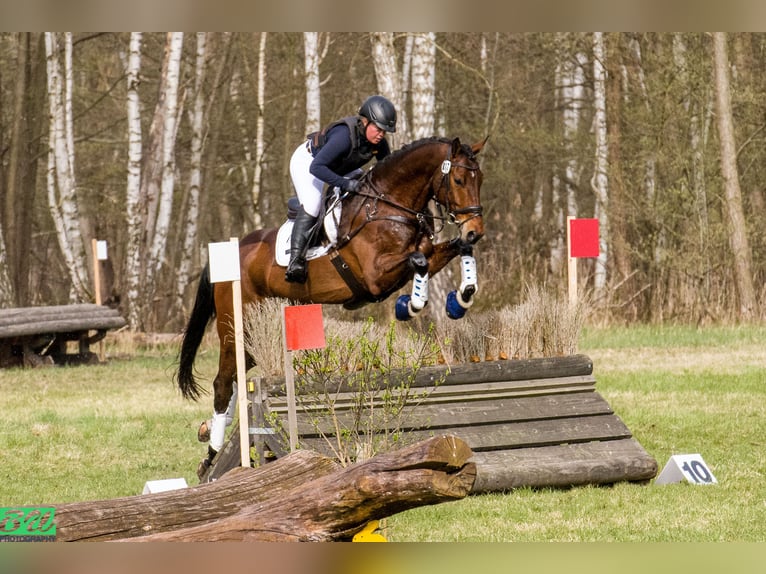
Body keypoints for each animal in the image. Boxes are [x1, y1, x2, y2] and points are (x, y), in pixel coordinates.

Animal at [175, 135, 487, 474]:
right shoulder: (375, 276)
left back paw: (210, 439)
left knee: (235, 380)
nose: (476, 229)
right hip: (235, 326)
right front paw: (411, 304)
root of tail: (234, 252)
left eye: (480, 180)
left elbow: (454, 249)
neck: (390, 206)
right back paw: (212, 456)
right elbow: (419, 262)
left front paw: (461, 298)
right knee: (222, 382)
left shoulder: (425, 253)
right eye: (458, 180)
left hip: (258, 332)